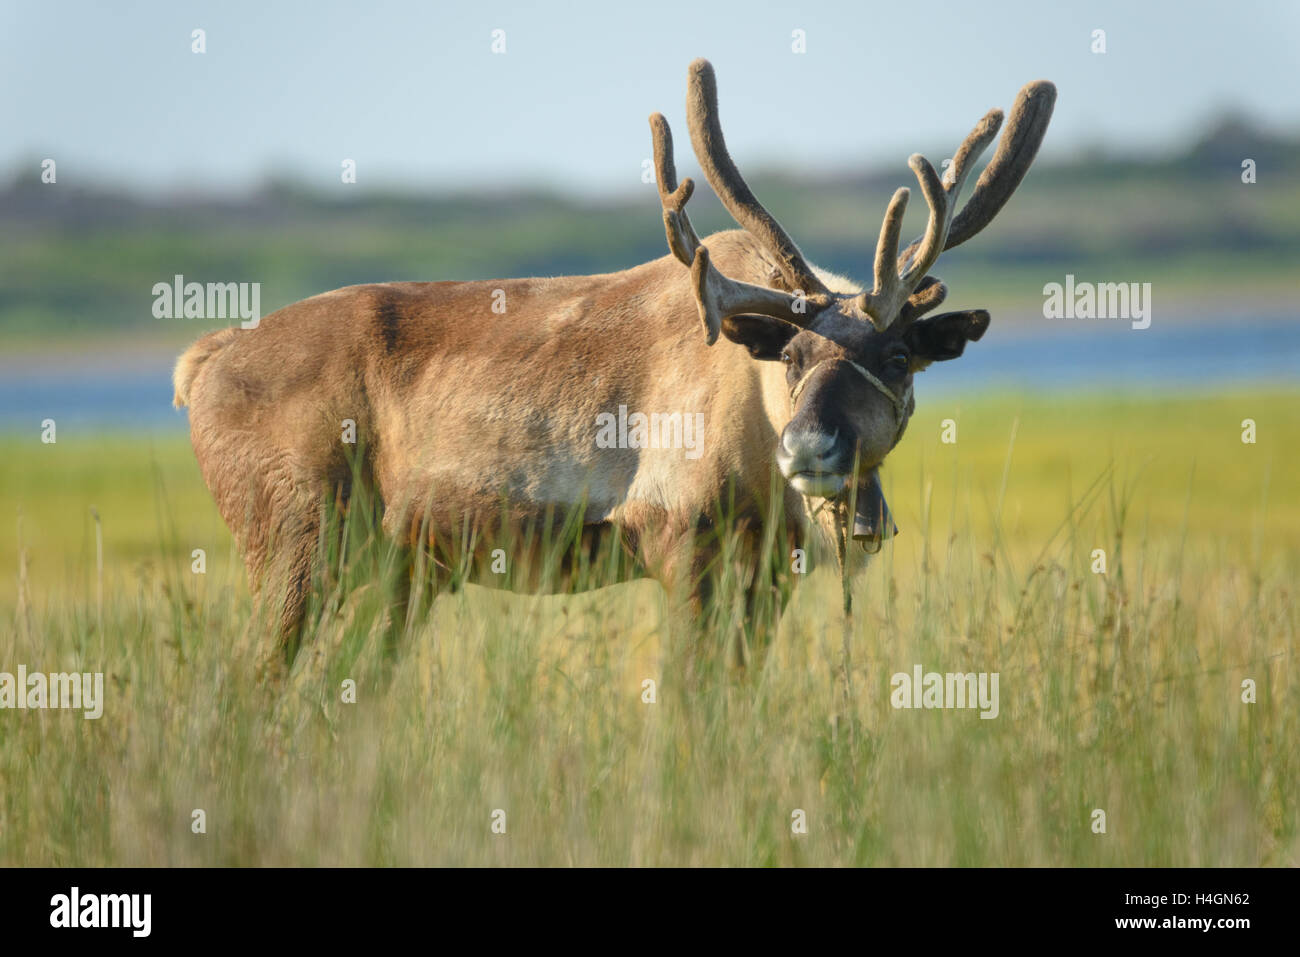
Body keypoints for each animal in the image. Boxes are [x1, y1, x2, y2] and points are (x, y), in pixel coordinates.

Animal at [172, 57, 1055, 657]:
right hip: (294, 541)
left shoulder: (769, 577)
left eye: (903, 356)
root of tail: (204, 360)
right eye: (791, 356)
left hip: (398, 571)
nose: (810, 450)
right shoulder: (682, 544)